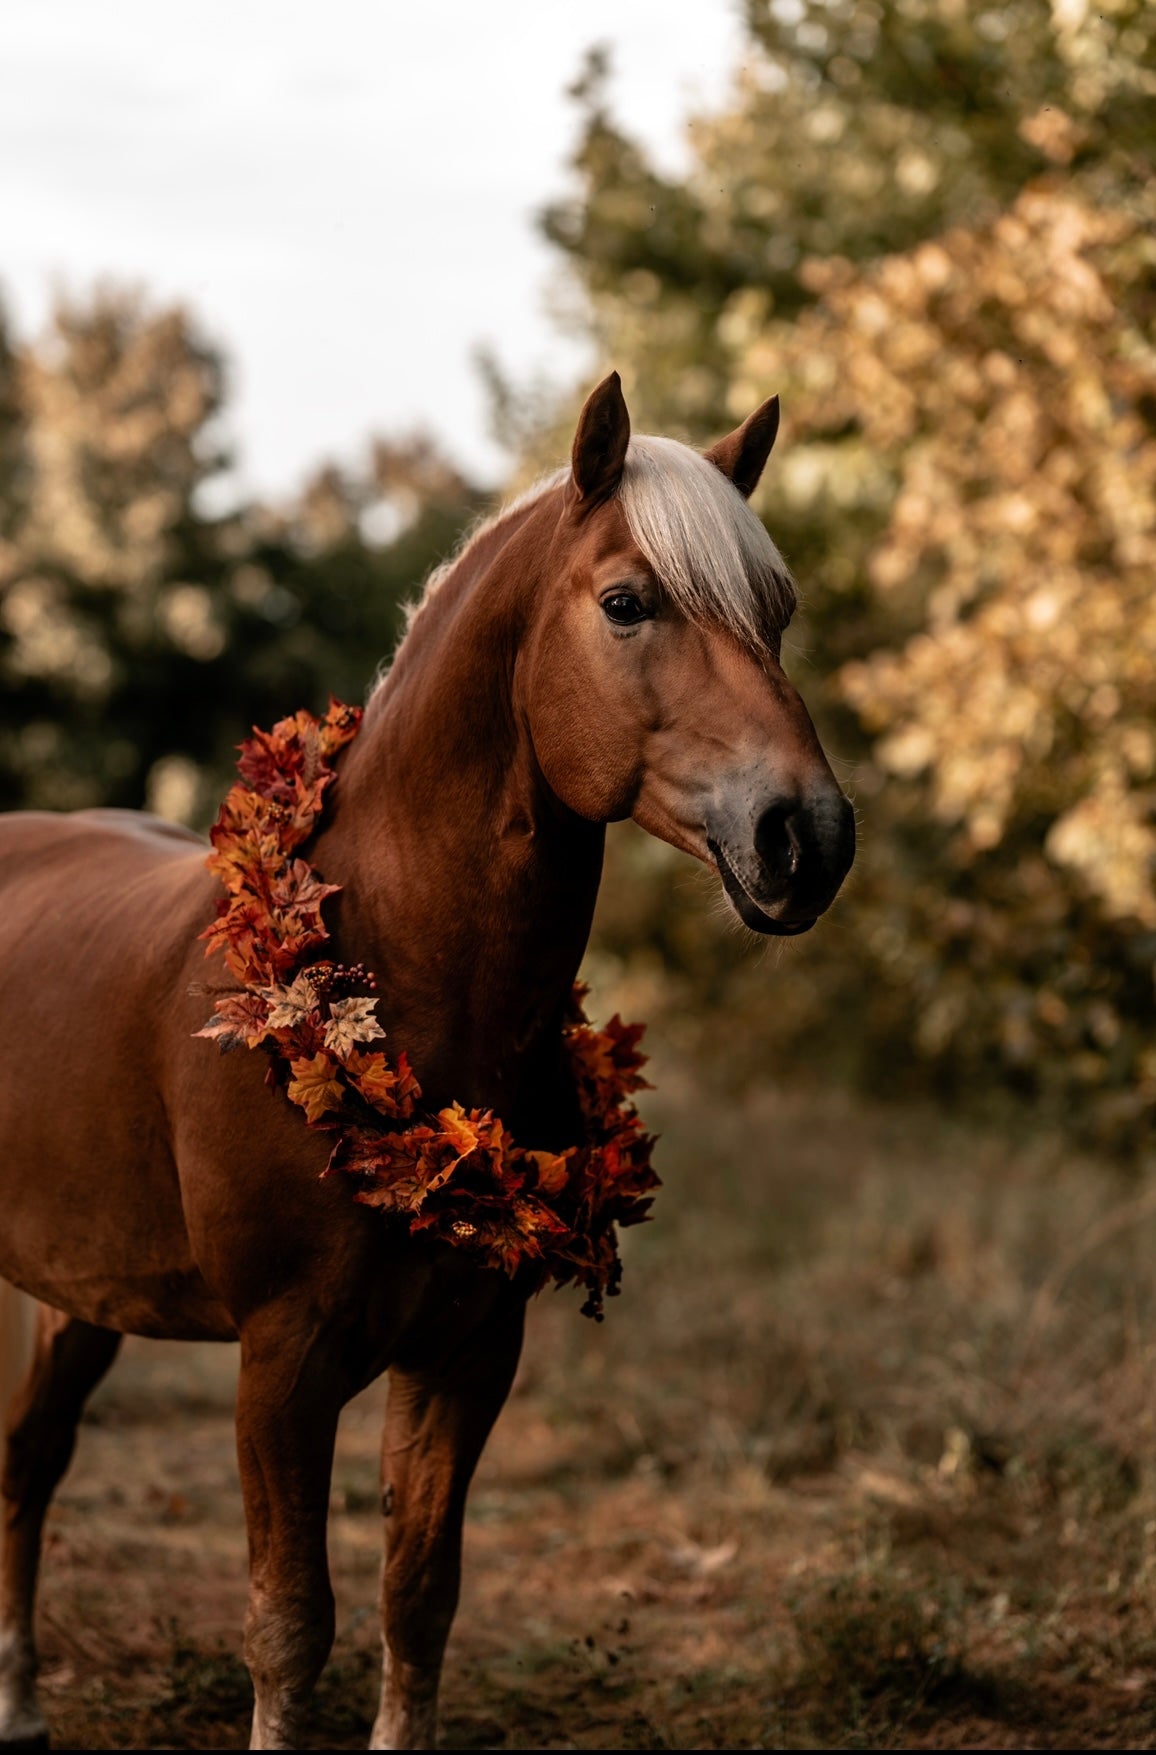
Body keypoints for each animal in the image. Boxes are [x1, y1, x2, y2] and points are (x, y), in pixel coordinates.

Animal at [0, 377, 856, 1747]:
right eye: (627, 602)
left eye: (776, 613)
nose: (807, 838)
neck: (386, 974)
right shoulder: (280, 1366)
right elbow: (290, 1626)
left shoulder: (464, 1353)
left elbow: (419, 1599)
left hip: (77, 1298)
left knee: (31, 1460)